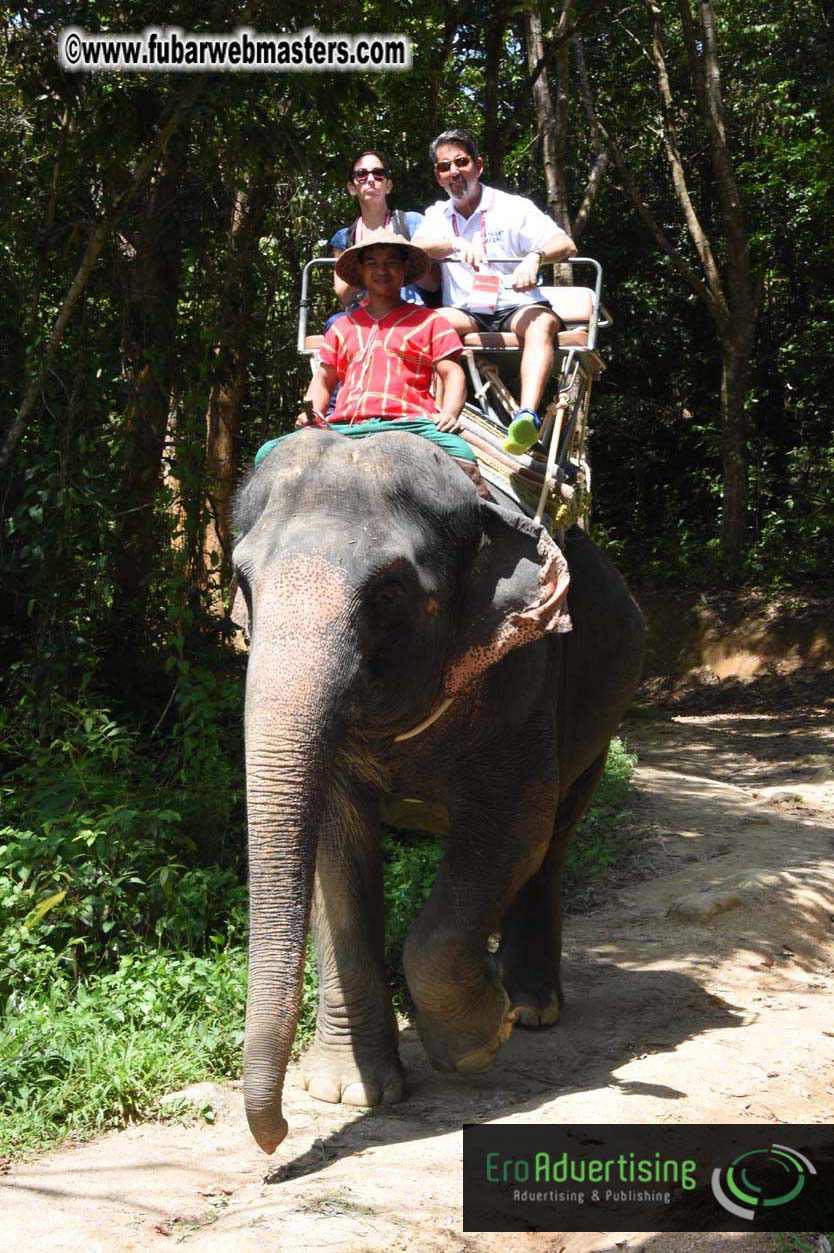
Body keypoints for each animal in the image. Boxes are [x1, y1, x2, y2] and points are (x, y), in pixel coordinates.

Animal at [231, 427, 644, 1155]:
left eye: (388, 591)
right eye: (242, 581)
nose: (276, 1137)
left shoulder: (526, 668)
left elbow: (514, 826)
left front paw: (481, 1037)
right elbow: (338, 850)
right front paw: (348, 1091)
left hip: (602, 712)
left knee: (554, 837)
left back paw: (530, 1007)